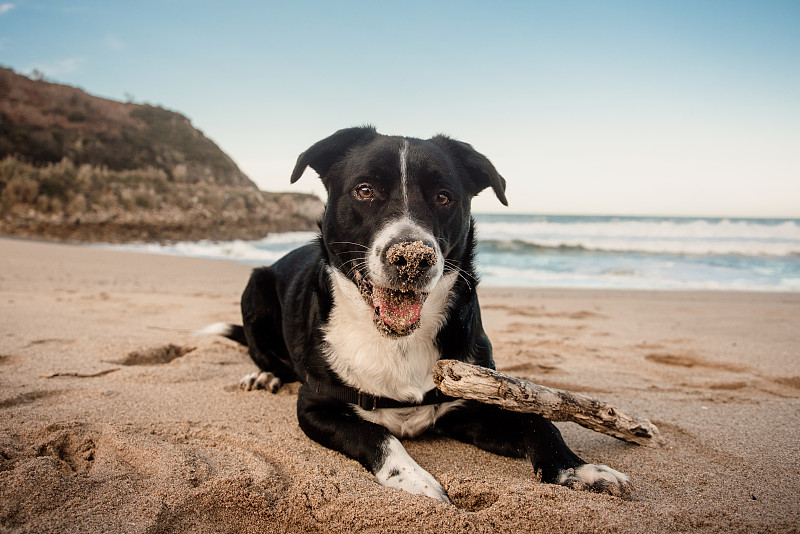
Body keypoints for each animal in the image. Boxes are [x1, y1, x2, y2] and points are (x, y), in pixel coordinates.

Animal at [208, 127, 632, 504]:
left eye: (443, 197)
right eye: (365, 190)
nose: (412, 257)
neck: (397, 341)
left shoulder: (469, 406)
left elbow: (539, 422)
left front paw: (579, 469)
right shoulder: (315, 407)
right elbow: (378, 436)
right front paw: (414, 480)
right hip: (255, 287)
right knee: (262, 353)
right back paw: (265, 375)